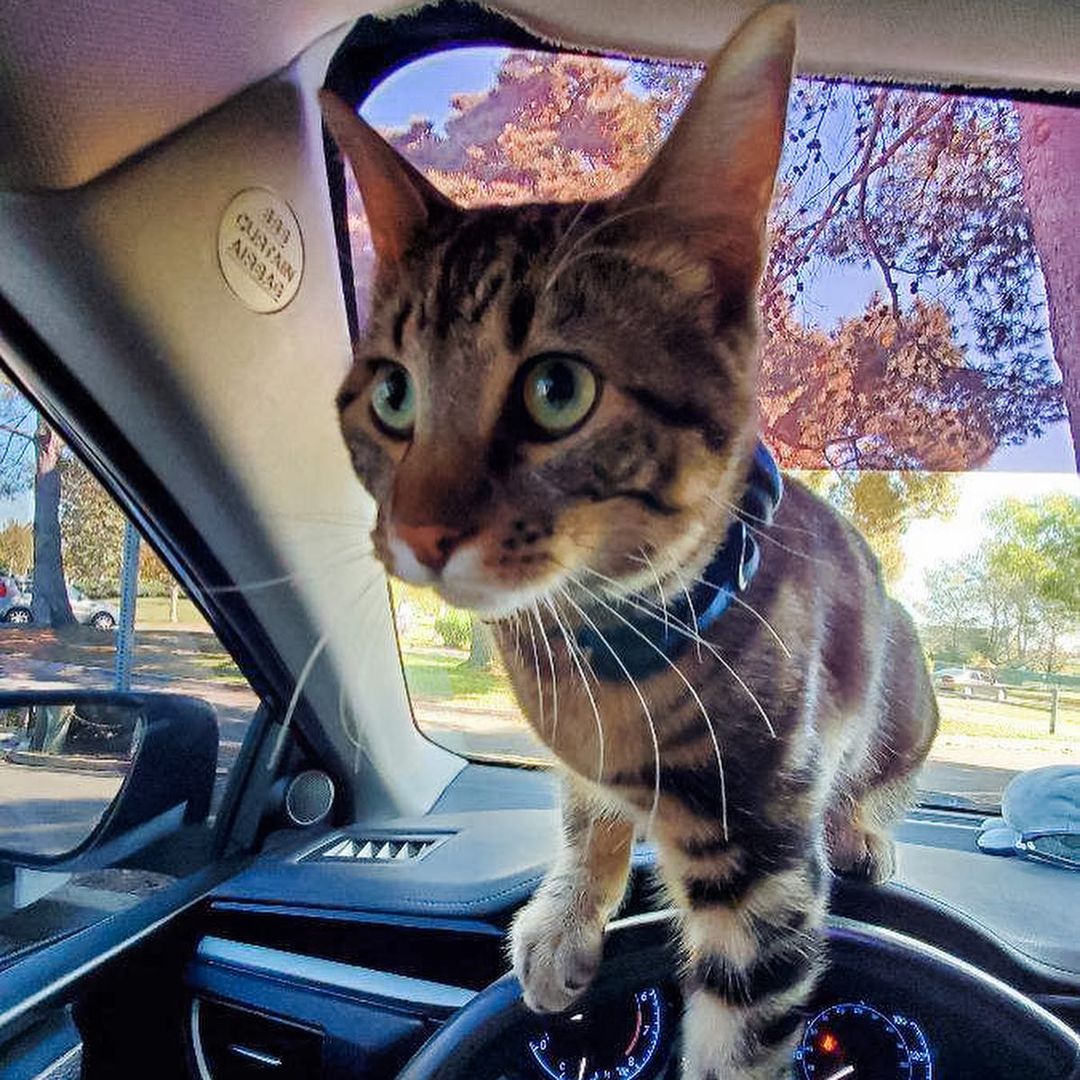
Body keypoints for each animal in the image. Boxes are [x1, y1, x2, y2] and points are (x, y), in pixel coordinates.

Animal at [317, 4, 937, 1075]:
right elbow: (583, 810)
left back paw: (865, 828)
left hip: (908, 688)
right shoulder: (581, 764)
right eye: (392, 394)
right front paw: (568, 910)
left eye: (557, 388)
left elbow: (739, 1030)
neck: (601, 652)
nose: (419, 532)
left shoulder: (761, 853)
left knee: (884, 780)